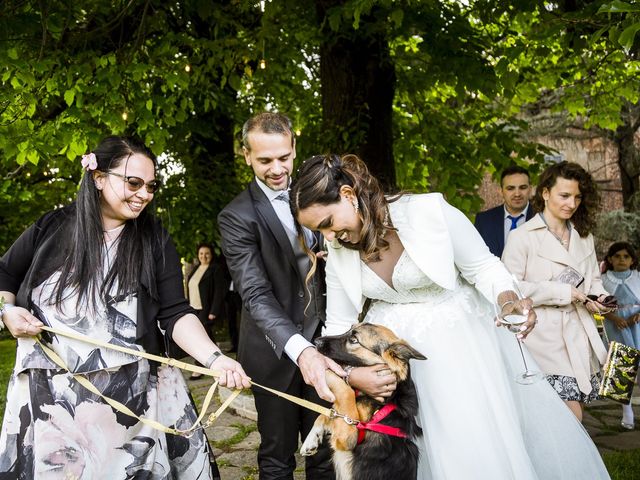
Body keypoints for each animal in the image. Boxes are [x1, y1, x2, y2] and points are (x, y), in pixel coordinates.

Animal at [300, 322, 424, 480]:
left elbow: (344, 390)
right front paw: (310, 440)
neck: (387, 399)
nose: (316, 342)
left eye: (354, 340)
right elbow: (327, 413)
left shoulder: (347, 436)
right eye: (349, 329)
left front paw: (320, 368)